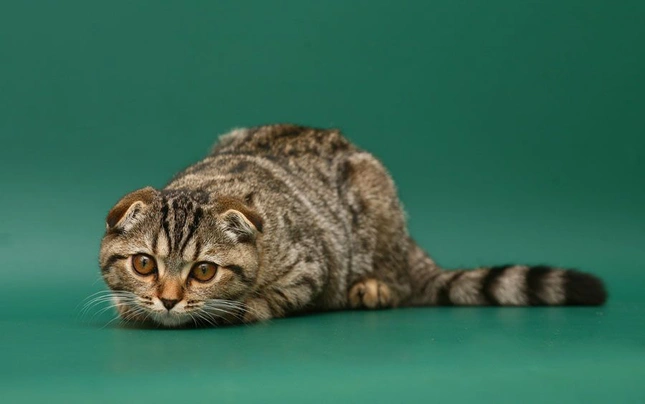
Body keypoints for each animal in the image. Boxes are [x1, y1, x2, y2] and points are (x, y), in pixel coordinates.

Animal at [98, 124, 608, 328]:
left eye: (204, 271)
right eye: (144, 265)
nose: (168, 299)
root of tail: (411, 248)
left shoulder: (311, 265)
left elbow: (275, 296)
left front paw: (243, 306)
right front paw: (132, 305)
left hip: (375, 198)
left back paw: (374, 287)